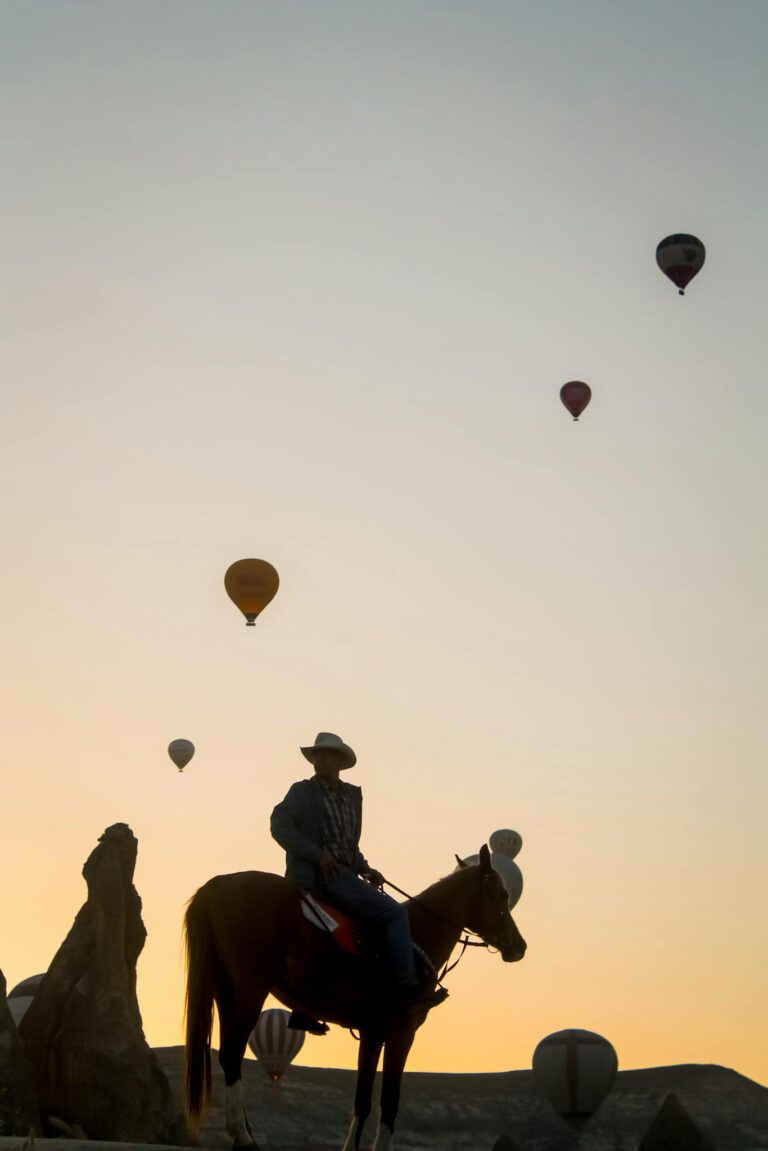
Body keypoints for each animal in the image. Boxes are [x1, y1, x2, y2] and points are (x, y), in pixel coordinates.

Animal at [183, 842, 525, 1146]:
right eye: (502, 894)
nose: (518, 945)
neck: (416, 934)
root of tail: (218, 885)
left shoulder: (372, 1033)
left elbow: (362, 1101)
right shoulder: (402, 1032)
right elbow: (389, 1102)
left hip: (226, 993)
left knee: (229, 1058)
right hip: (250, 992)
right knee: (232, 1054)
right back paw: (242, 1136)